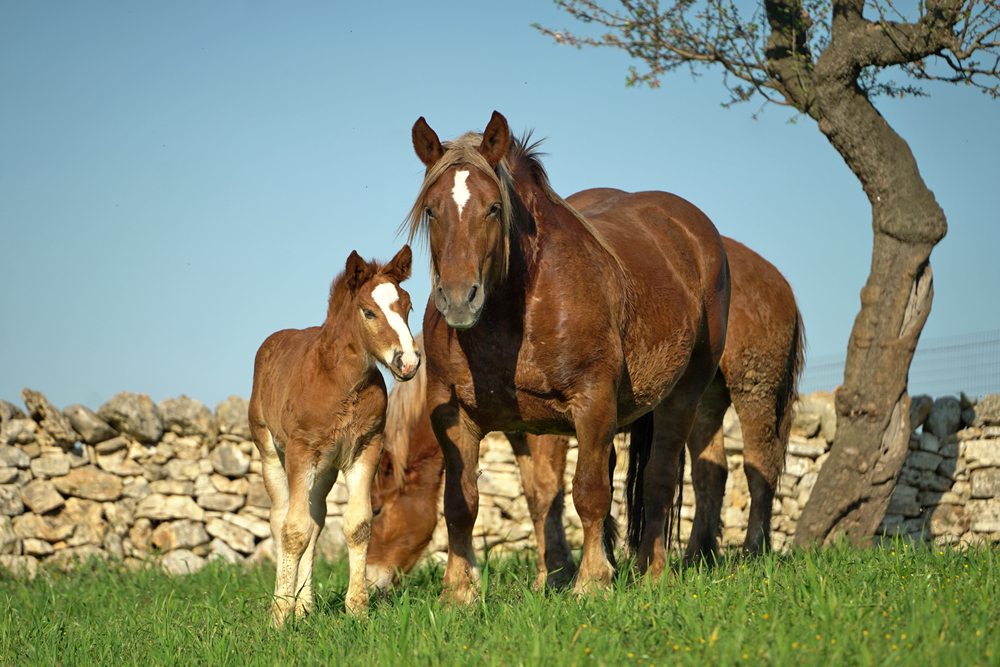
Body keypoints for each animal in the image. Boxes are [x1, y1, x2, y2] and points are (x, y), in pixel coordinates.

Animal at [254, 245, 422, 628]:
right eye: (368, 312)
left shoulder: (366, 448)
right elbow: (293, 529)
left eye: (408, 307)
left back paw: (305, 607)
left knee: (316, 519)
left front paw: (357, 609)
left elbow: (357, 525)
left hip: (326, 468)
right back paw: (284, 603)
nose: (407, 362)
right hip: (271, 451)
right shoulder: (301, 451)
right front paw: (278, 616)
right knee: (280, 517)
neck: (342, 382)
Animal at [404, 112, 728, 604]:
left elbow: (589, 493)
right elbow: (461, 504)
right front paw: (458, 593)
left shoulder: (592, 402)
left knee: (659, 479)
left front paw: (591, 583)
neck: (517, 308)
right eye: (431, 210)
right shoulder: (455, 414)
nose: (459, 300)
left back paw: (653, 572)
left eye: (493, 208)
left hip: (683, 396)